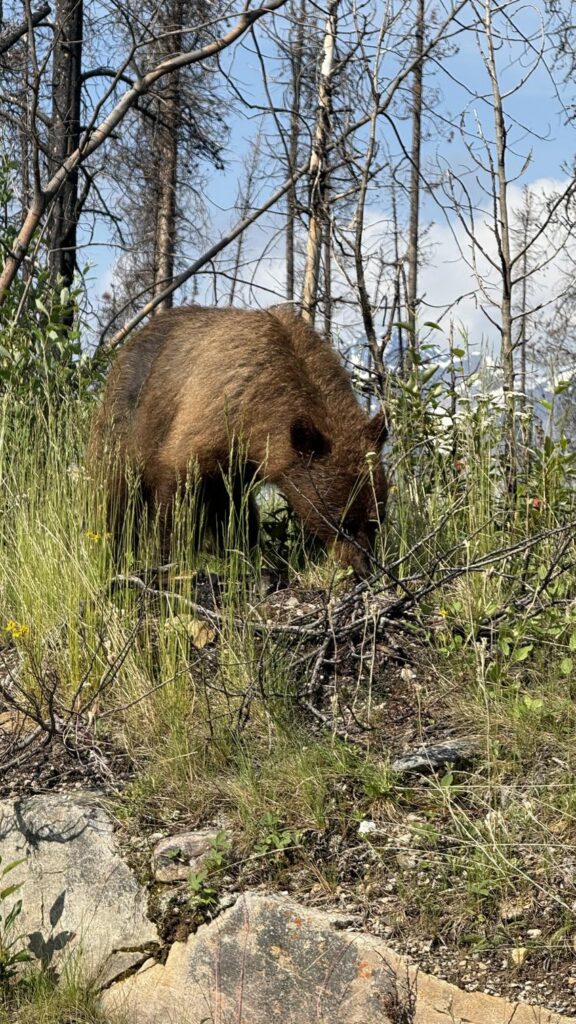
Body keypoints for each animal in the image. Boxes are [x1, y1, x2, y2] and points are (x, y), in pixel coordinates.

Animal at [88, 304, 388, 576]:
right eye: (342, 523)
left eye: (376, 520)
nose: (365, 569)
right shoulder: (208, 417)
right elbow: (177, 492)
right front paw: (169, 557)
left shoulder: (240, 460)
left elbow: (236, 512)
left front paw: (246, 552)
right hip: (125, 419)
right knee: (117, 495)